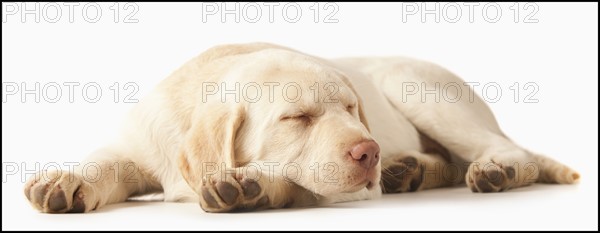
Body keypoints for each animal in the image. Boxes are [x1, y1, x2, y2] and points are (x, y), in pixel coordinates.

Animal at [24, 41, 580, 213]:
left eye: (353, 109)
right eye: (297, 118)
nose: (370, 153)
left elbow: (294, 180)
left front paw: (249, 184)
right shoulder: (140, 140)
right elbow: (104, 161)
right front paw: (64, 179)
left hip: (417, 88)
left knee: (508, 151)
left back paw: (495, 171)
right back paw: (409, 170)